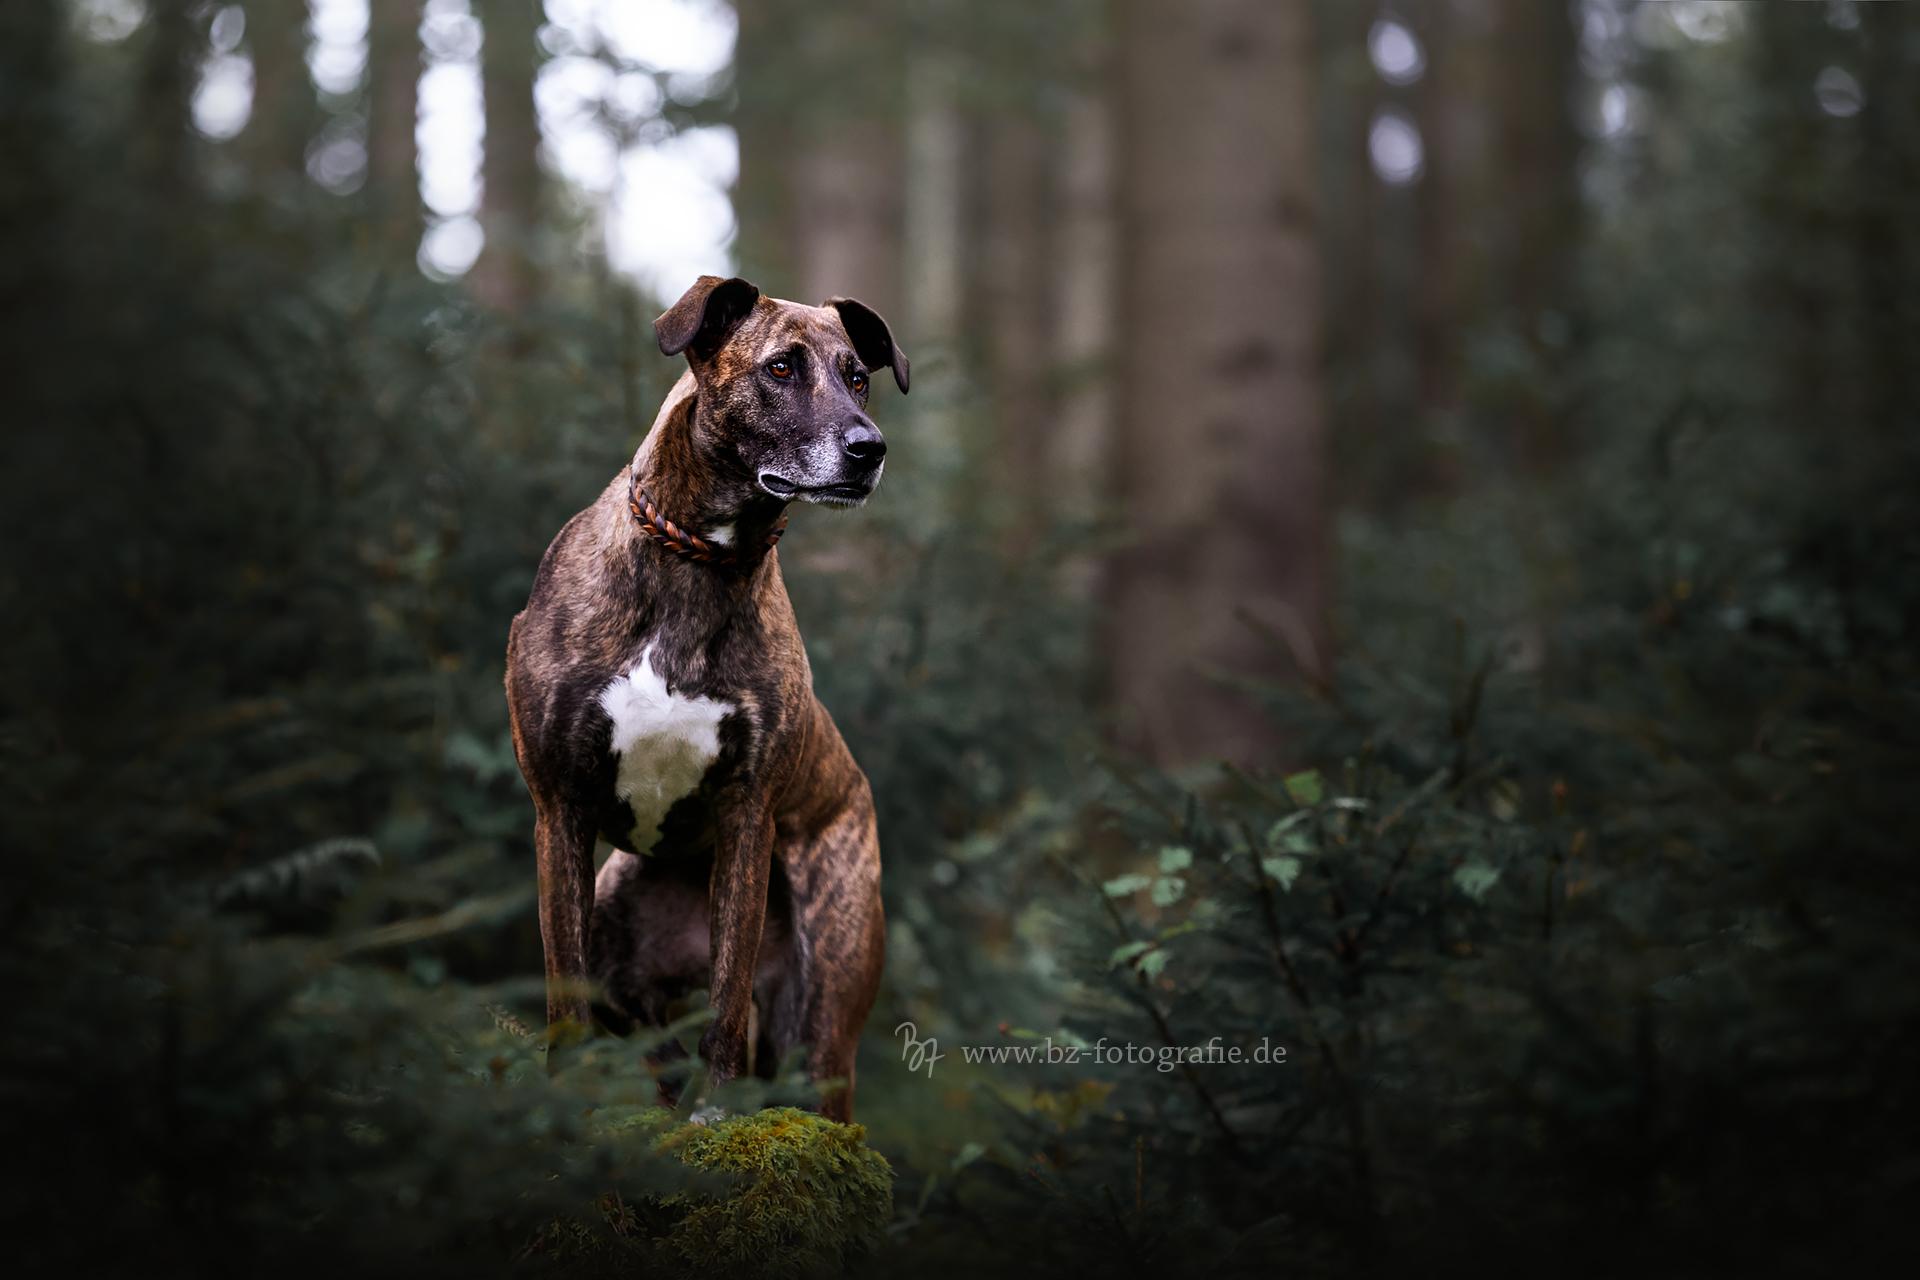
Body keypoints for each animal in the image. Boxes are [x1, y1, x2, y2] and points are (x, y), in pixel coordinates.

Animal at [503, 272, 906, 1120]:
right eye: (781, 368)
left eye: (859, 377)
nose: (869, 449)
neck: (700, 560)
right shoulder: (559, 808)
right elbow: (564, 988)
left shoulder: (747, 816)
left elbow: (724, 1000)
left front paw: (716, 1113)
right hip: (619, 928)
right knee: (648, 1038)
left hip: (824, 1008)